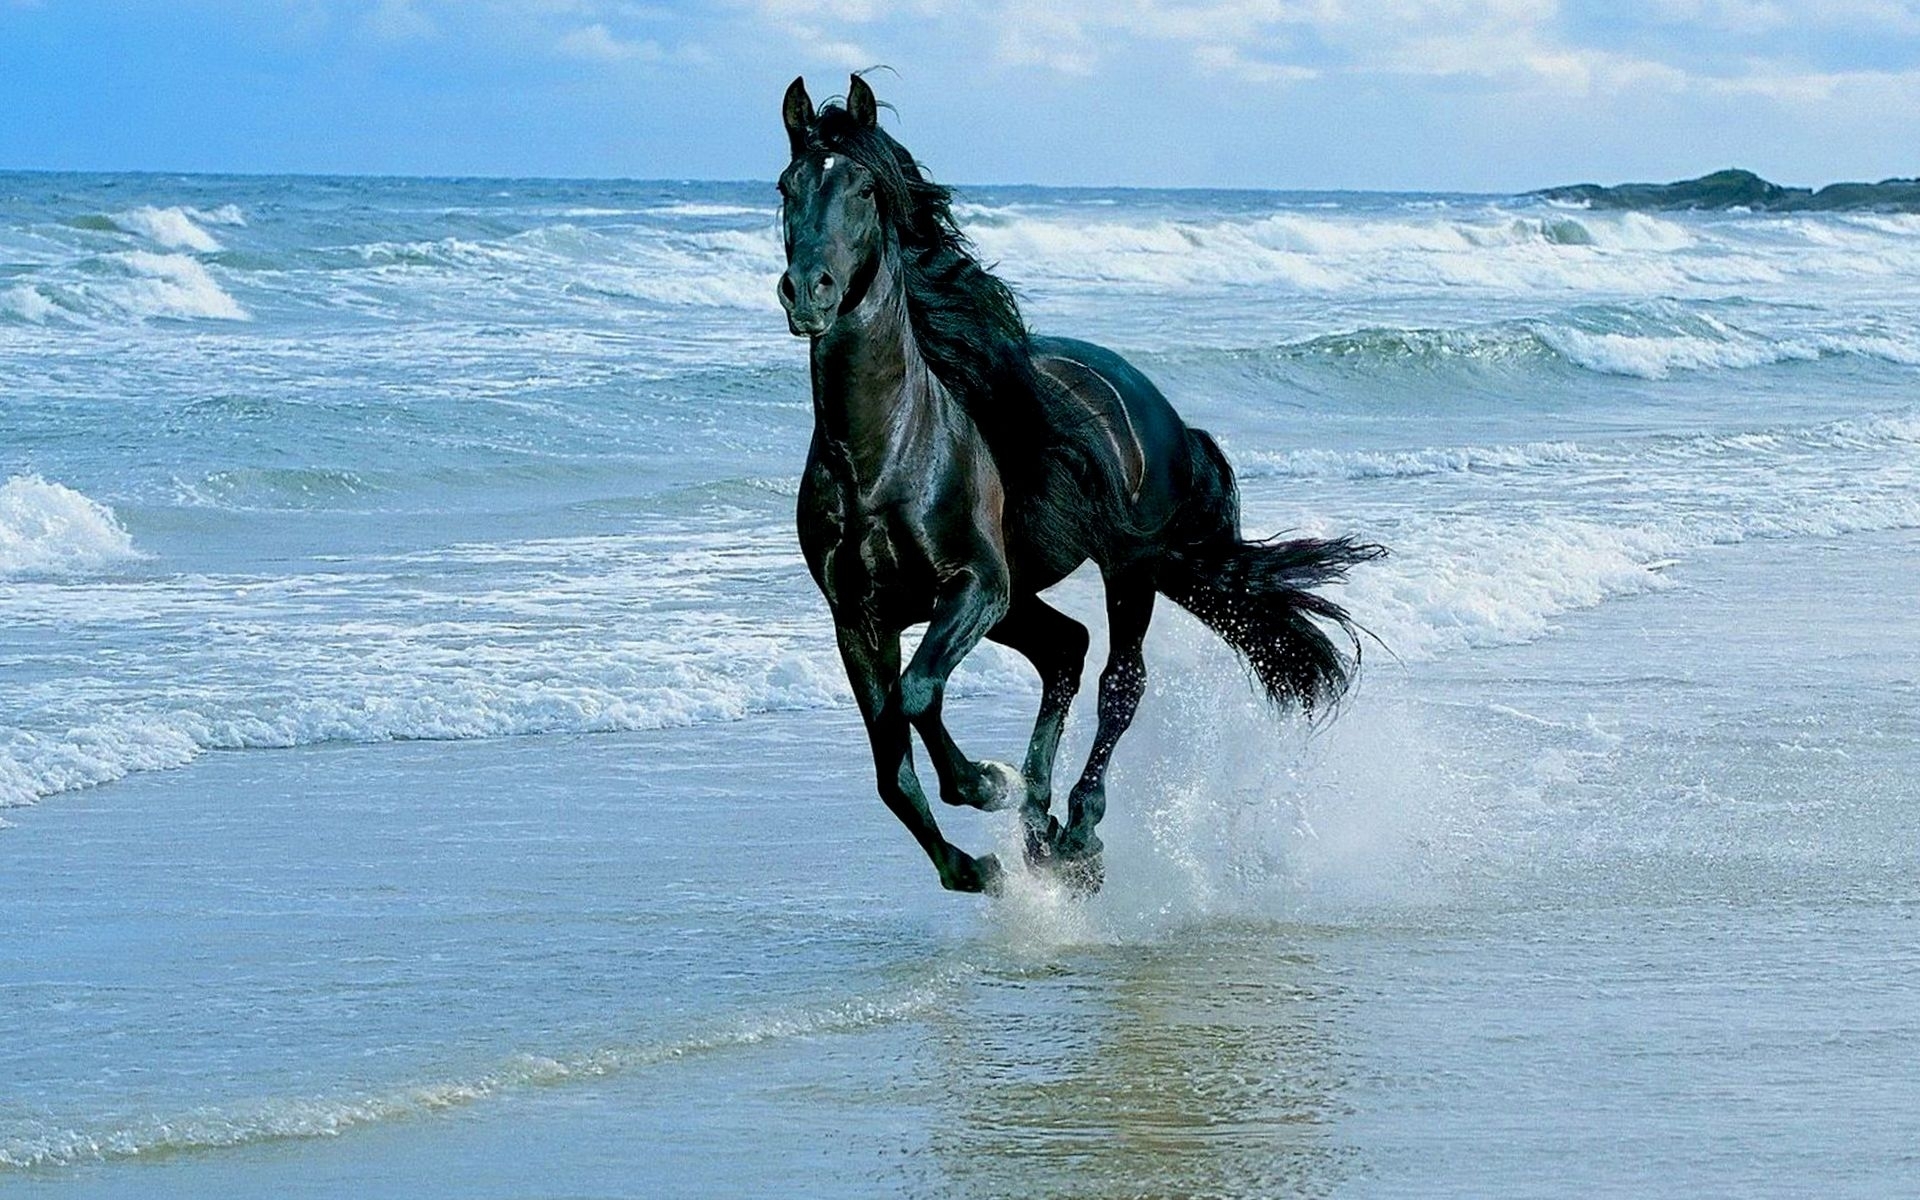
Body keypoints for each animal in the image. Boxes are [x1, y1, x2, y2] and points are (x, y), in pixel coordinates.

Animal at [777, 74, 1382, 895]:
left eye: (866, 189)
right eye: (787, 187)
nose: (808, 292)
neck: (883, 457)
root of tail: (1159, 408)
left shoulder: (976, 585)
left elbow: (918, 694)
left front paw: (985, 784)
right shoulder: (859, 619)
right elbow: (890, 767)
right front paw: (976, 865)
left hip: (1127, 568)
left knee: (1119, 680)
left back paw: (1077, 831)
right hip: (1027, 599)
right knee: (1065, 650)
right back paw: (1039, 828)